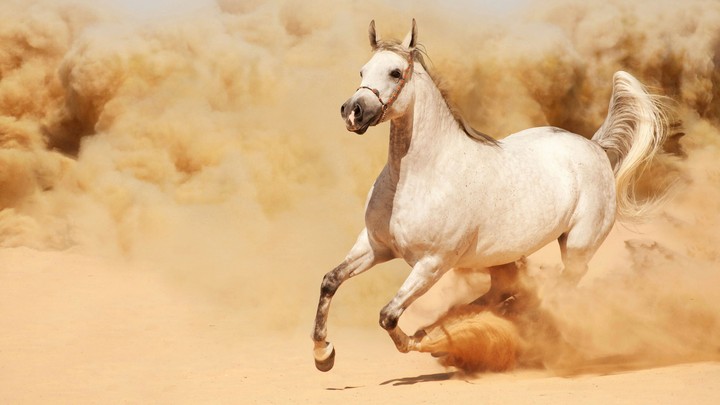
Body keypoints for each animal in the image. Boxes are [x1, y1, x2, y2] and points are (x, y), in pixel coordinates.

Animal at [312, 19, 669, 372]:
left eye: (395, 72)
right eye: (362, 71)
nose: (353, 111)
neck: (419, 178)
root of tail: (595, 148)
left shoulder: (432, 264)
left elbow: (388, 316)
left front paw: (424, 340)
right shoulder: (375, 246)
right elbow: (330, 280)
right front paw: (323, 353)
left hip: (578, 248)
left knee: (557, 290)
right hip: (505, 258)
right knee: (505, 293)